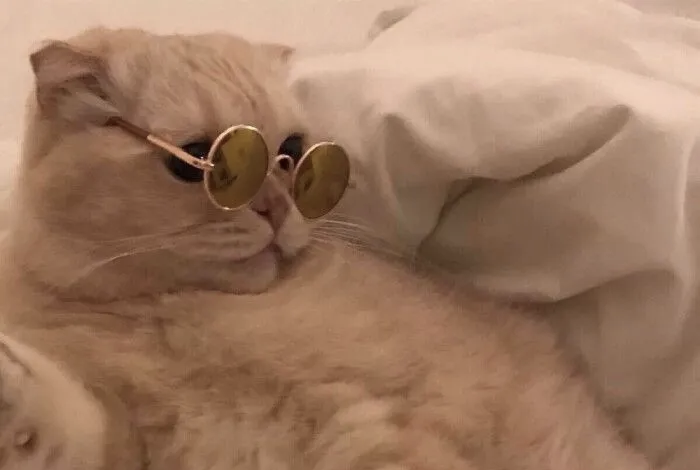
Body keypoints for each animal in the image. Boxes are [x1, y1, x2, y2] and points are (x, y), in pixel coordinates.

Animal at [0, 27, 654, 470]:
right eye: (199, 161)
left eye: (291, 150)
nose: (276, 209)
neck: (164, 314)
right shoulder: (130, 437)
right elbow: (64, 420)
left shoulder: (381, 420)